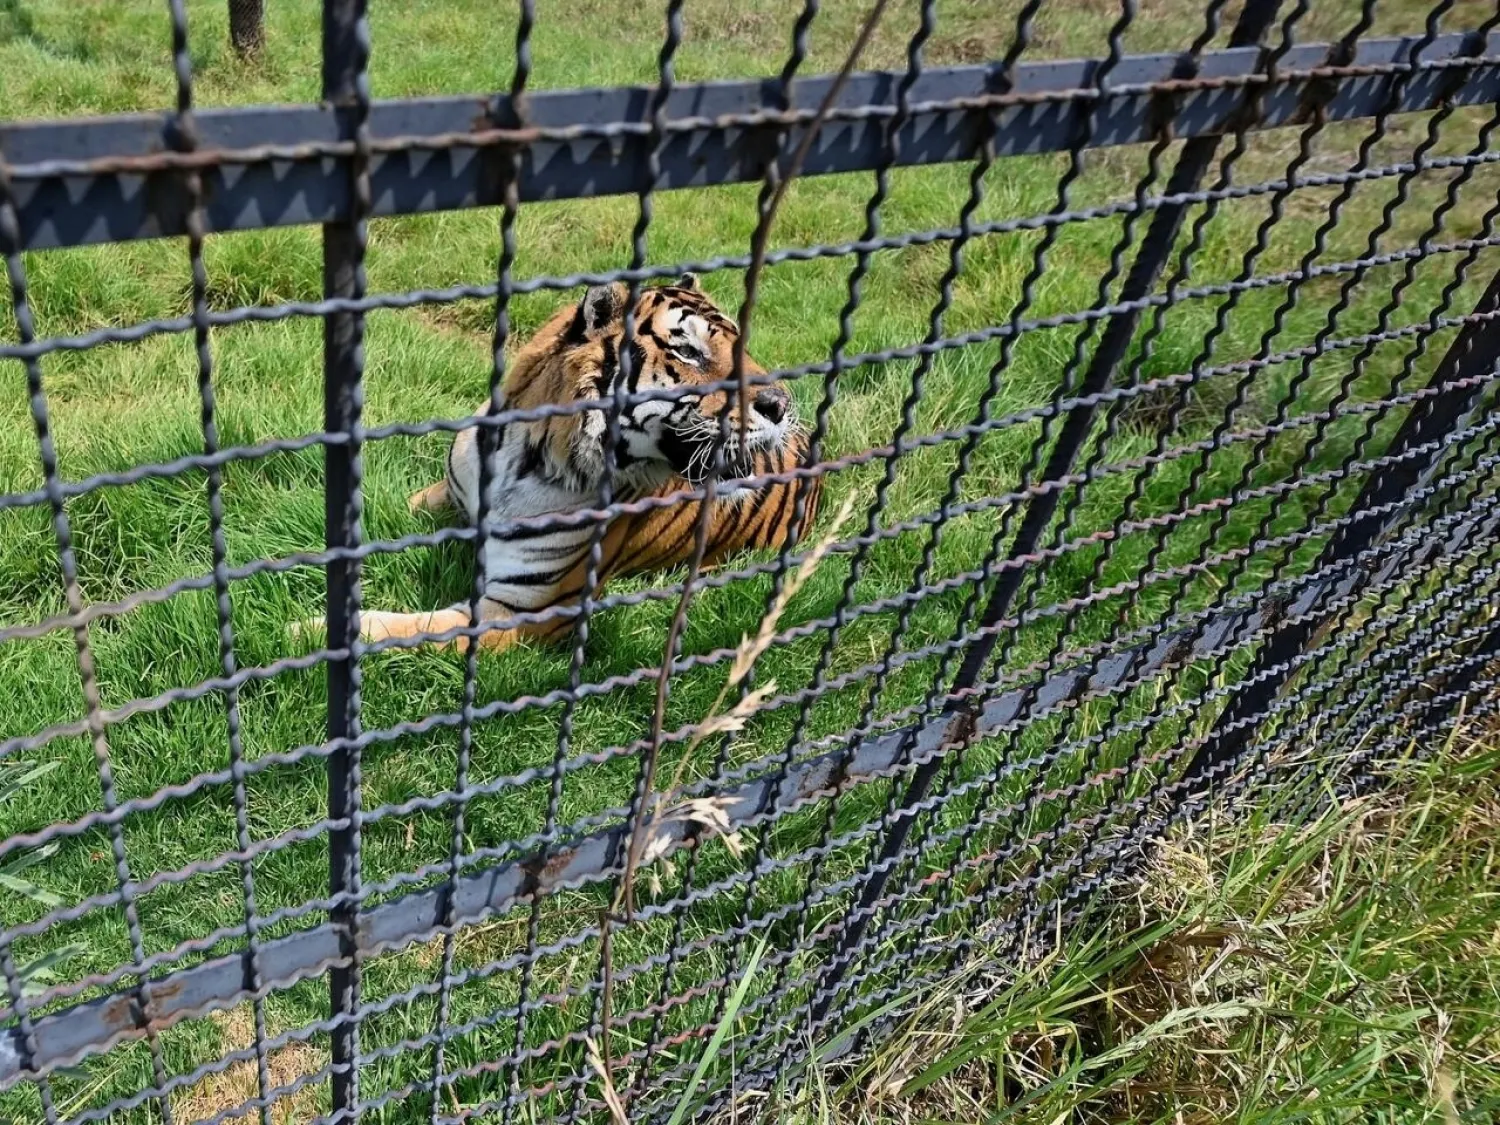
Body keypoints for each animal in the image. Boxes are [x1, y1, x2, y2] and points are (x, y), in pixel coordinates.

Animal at [297, 274, 821, 654]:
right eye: (688, 351)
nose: (780, 404)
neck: (521, 459)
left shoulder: (521, 610)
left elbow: (408, 630)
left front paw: (304, 631)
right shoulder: (446, 495)